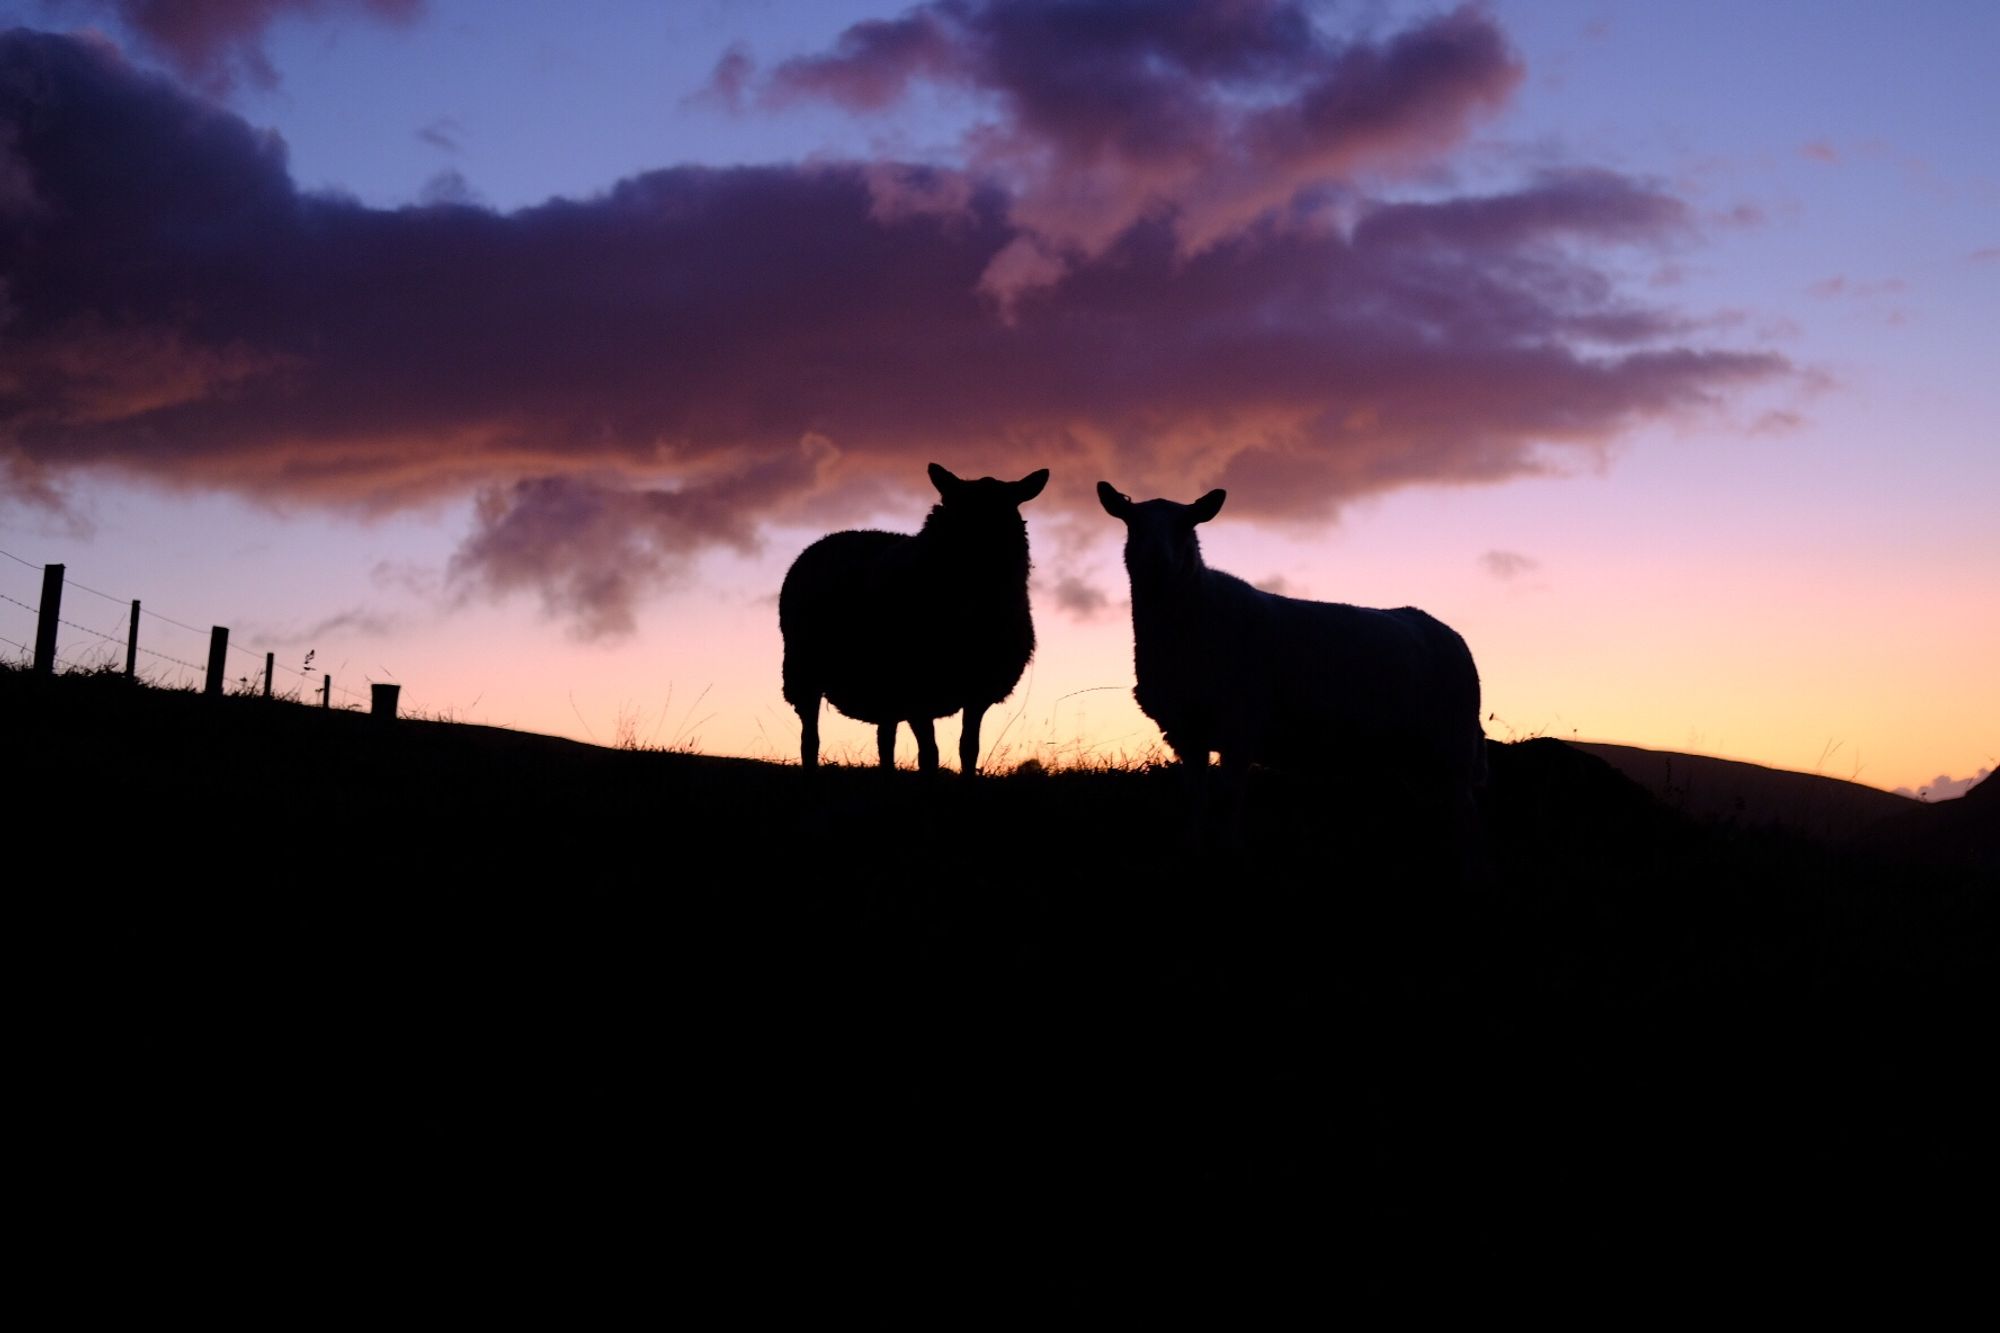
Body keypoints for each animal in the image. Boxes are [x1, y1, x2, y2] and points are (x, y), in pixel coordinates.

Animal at [772, 464, 1048, 768]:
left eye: (1006, 507)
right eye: (957, 507)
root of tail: (830, 537)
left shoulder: (977, 691)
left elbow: (969, 749)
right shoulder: (915, 693)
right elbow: (929, 754)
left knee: (885, 740)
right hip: (804, 672)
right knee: (810, 737)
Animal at [1096, 478, 1488, 832]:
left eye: (1186, 526)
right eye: (1132, 524)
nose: (1156, 562)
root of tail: (1445, 632)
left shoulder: (1240, 727)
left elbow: (1229, 805)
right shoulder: (1186, 732)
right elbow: (1197, 805)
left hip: (1453, 741)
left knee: (1466, 813)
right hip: (1414, 755)